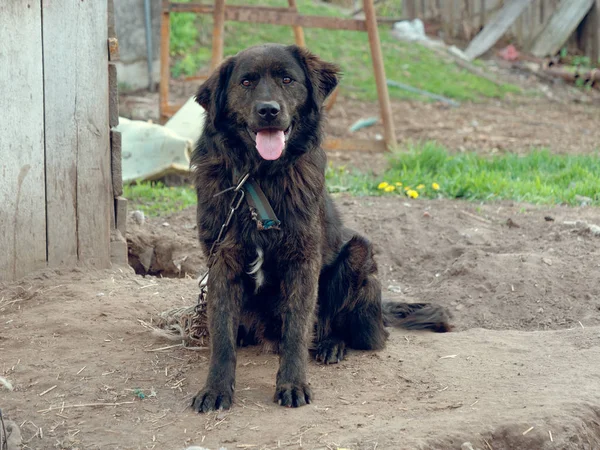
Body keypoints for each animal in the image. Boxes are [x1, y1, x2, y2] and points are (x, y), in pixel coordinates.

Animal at [190, 44, 448, 414]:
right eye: (246, 82)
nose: (269, 111)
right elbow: (222, 334)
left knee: (356, 332)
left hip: (359, 252)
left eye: (287, 79)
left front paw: (293, 384)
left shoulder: (303, 259)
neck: (260, 177)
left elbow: (297, 329)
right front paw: (216, 389)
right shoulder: (222, 260)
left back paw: (331, 345)